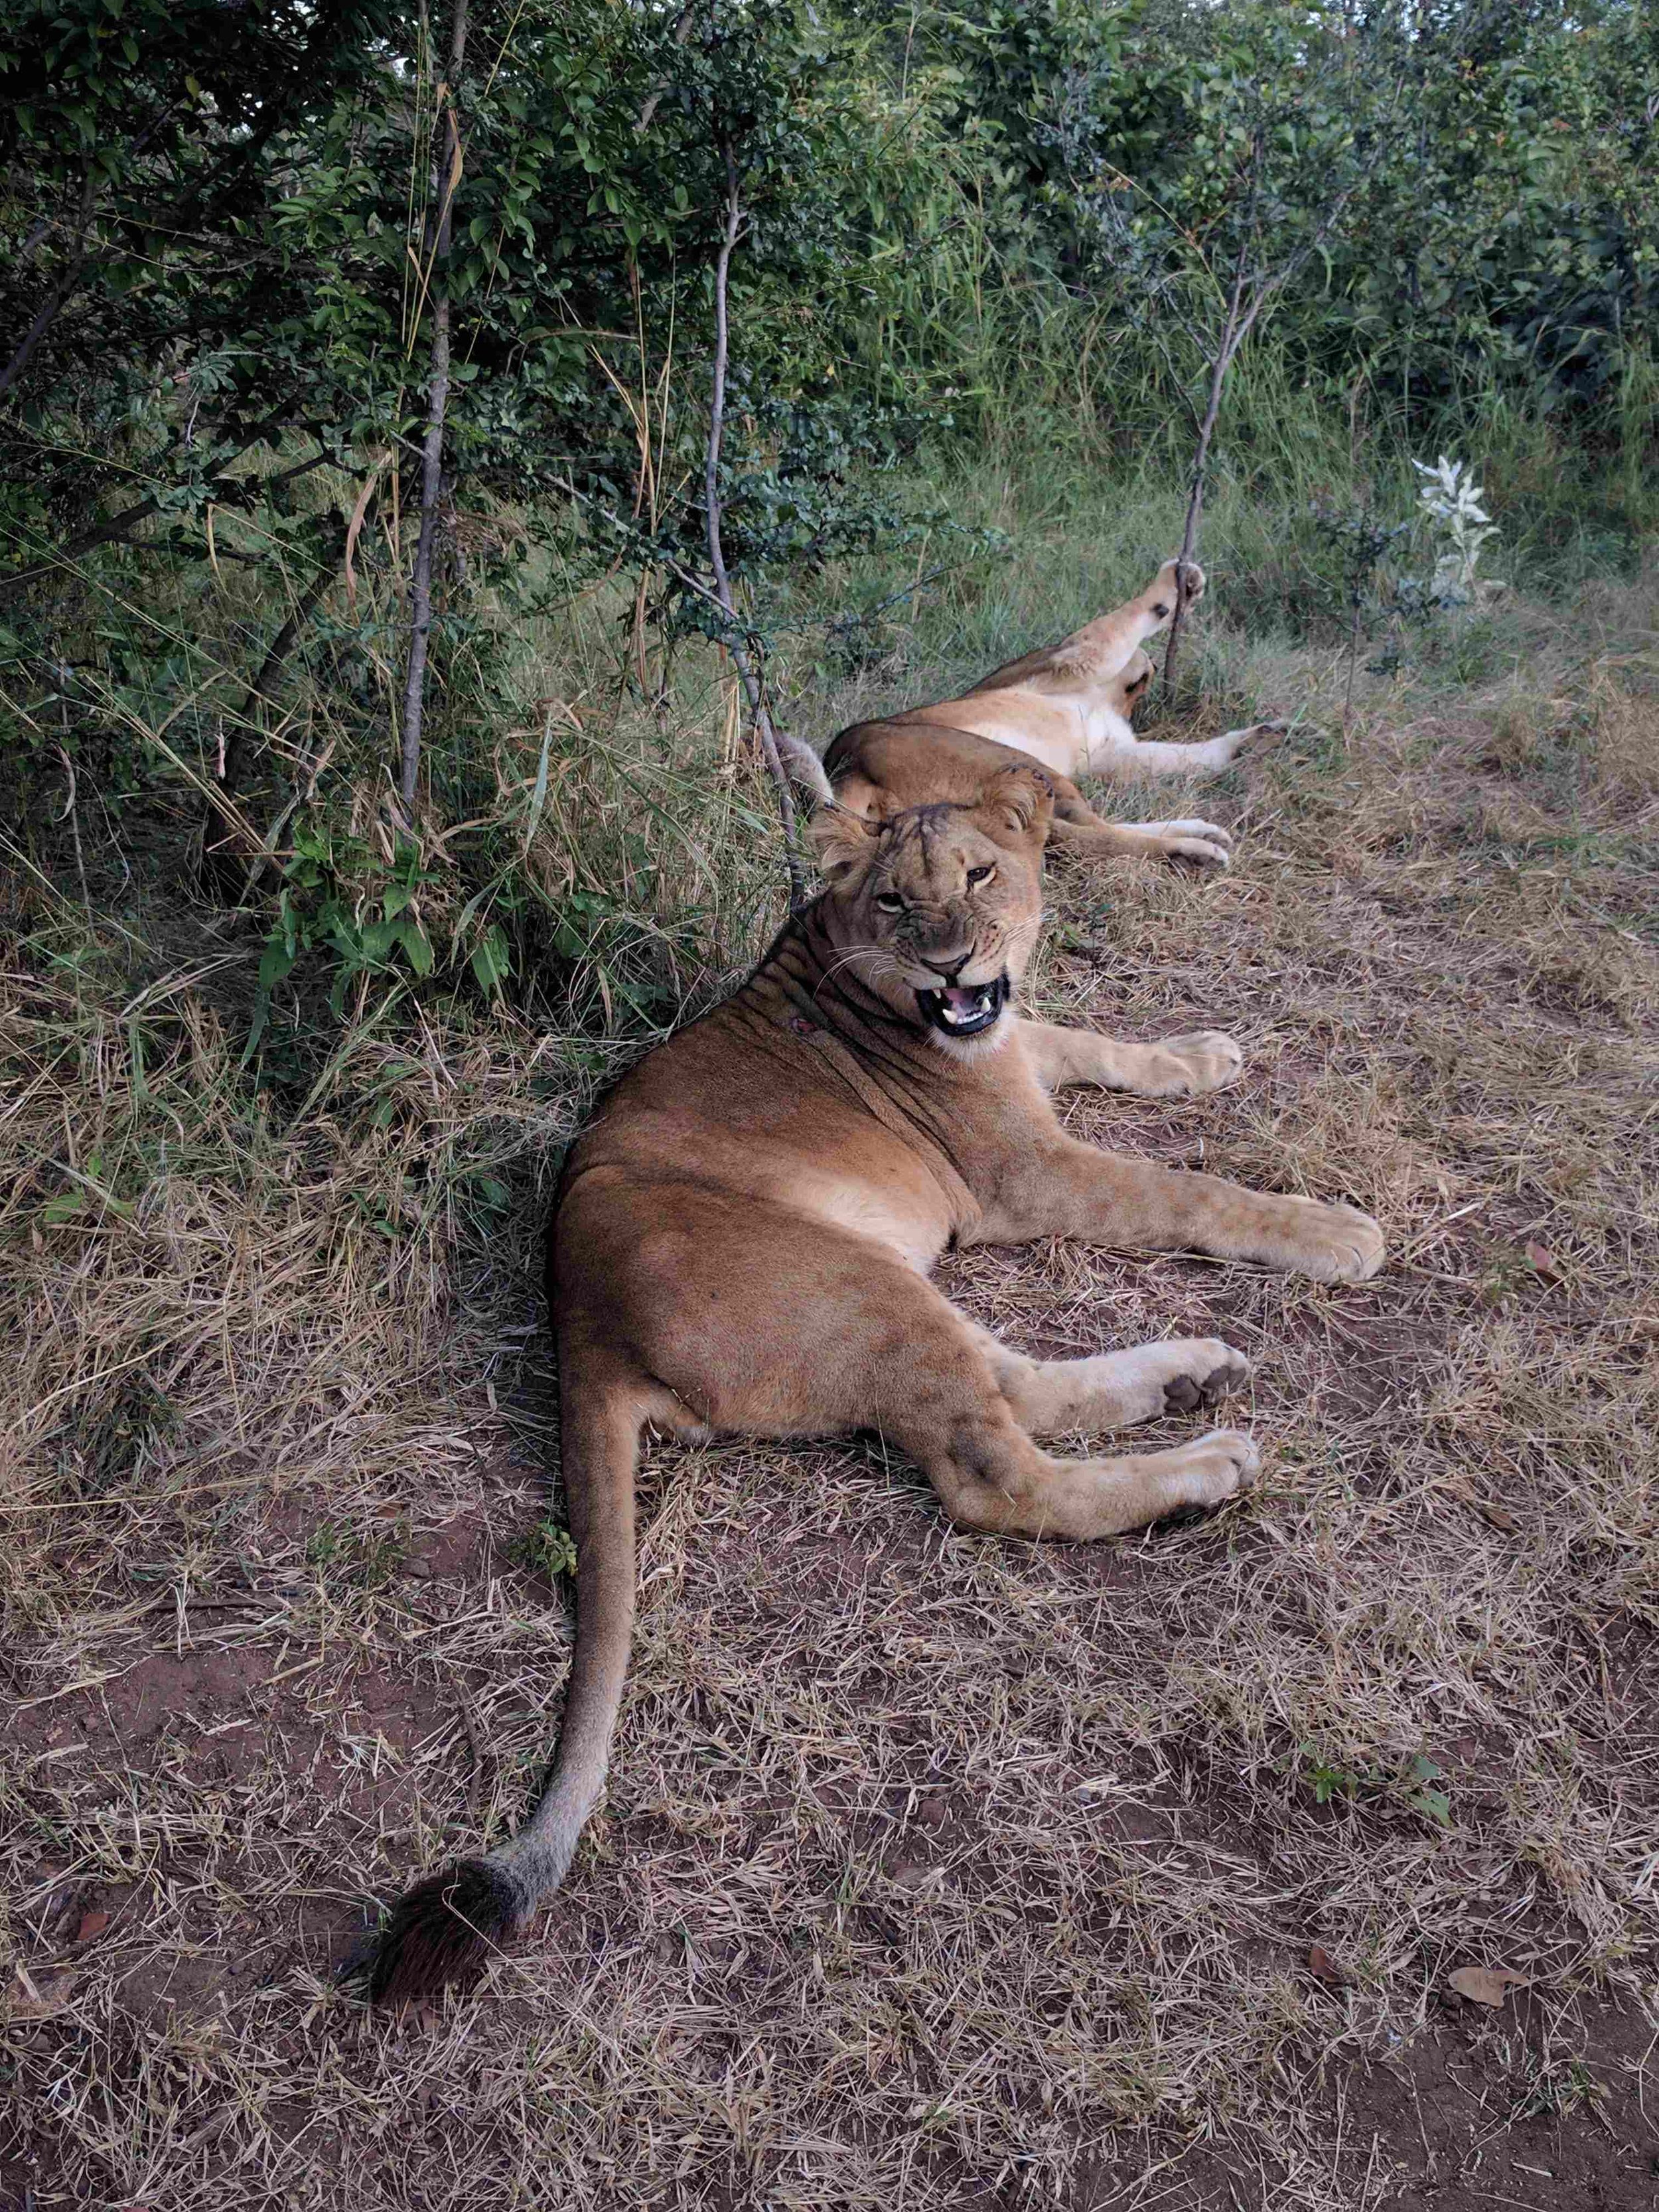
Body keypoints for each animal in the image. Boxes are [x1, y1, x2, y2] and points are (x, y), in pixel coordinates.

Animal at [369, 758, 1382, 2002]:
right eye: (897, 900)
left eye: (982, 875)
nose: (949, 963)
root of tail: (580, 1323)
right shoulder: (1027, 1176)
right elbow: (1194, 1191)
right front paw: (1332, 1230)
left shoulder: (1020, 1058)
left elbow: (1094, 1038)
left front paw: (1198, 1055)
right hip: (861, 1287)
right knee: (1000, 1477)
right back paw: (1208, 1460)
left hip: (892, 1285)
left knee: (1017, 1386)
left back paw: (1189, 1375)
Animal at [822, 557, 1288, 872]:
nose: (1155, 666)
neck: (1110, 697)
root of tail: (845, 769)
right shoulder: (1070, 658)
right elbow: (1129, 619)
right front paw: (1179, 581)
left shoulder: (1112, 752)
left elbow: (1188, 756)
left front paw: (1257, 739)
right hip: (1023, 765)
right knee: (1094, 837)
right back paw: (1195, 851)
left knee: (1089, 830)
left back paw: (1204, 828)